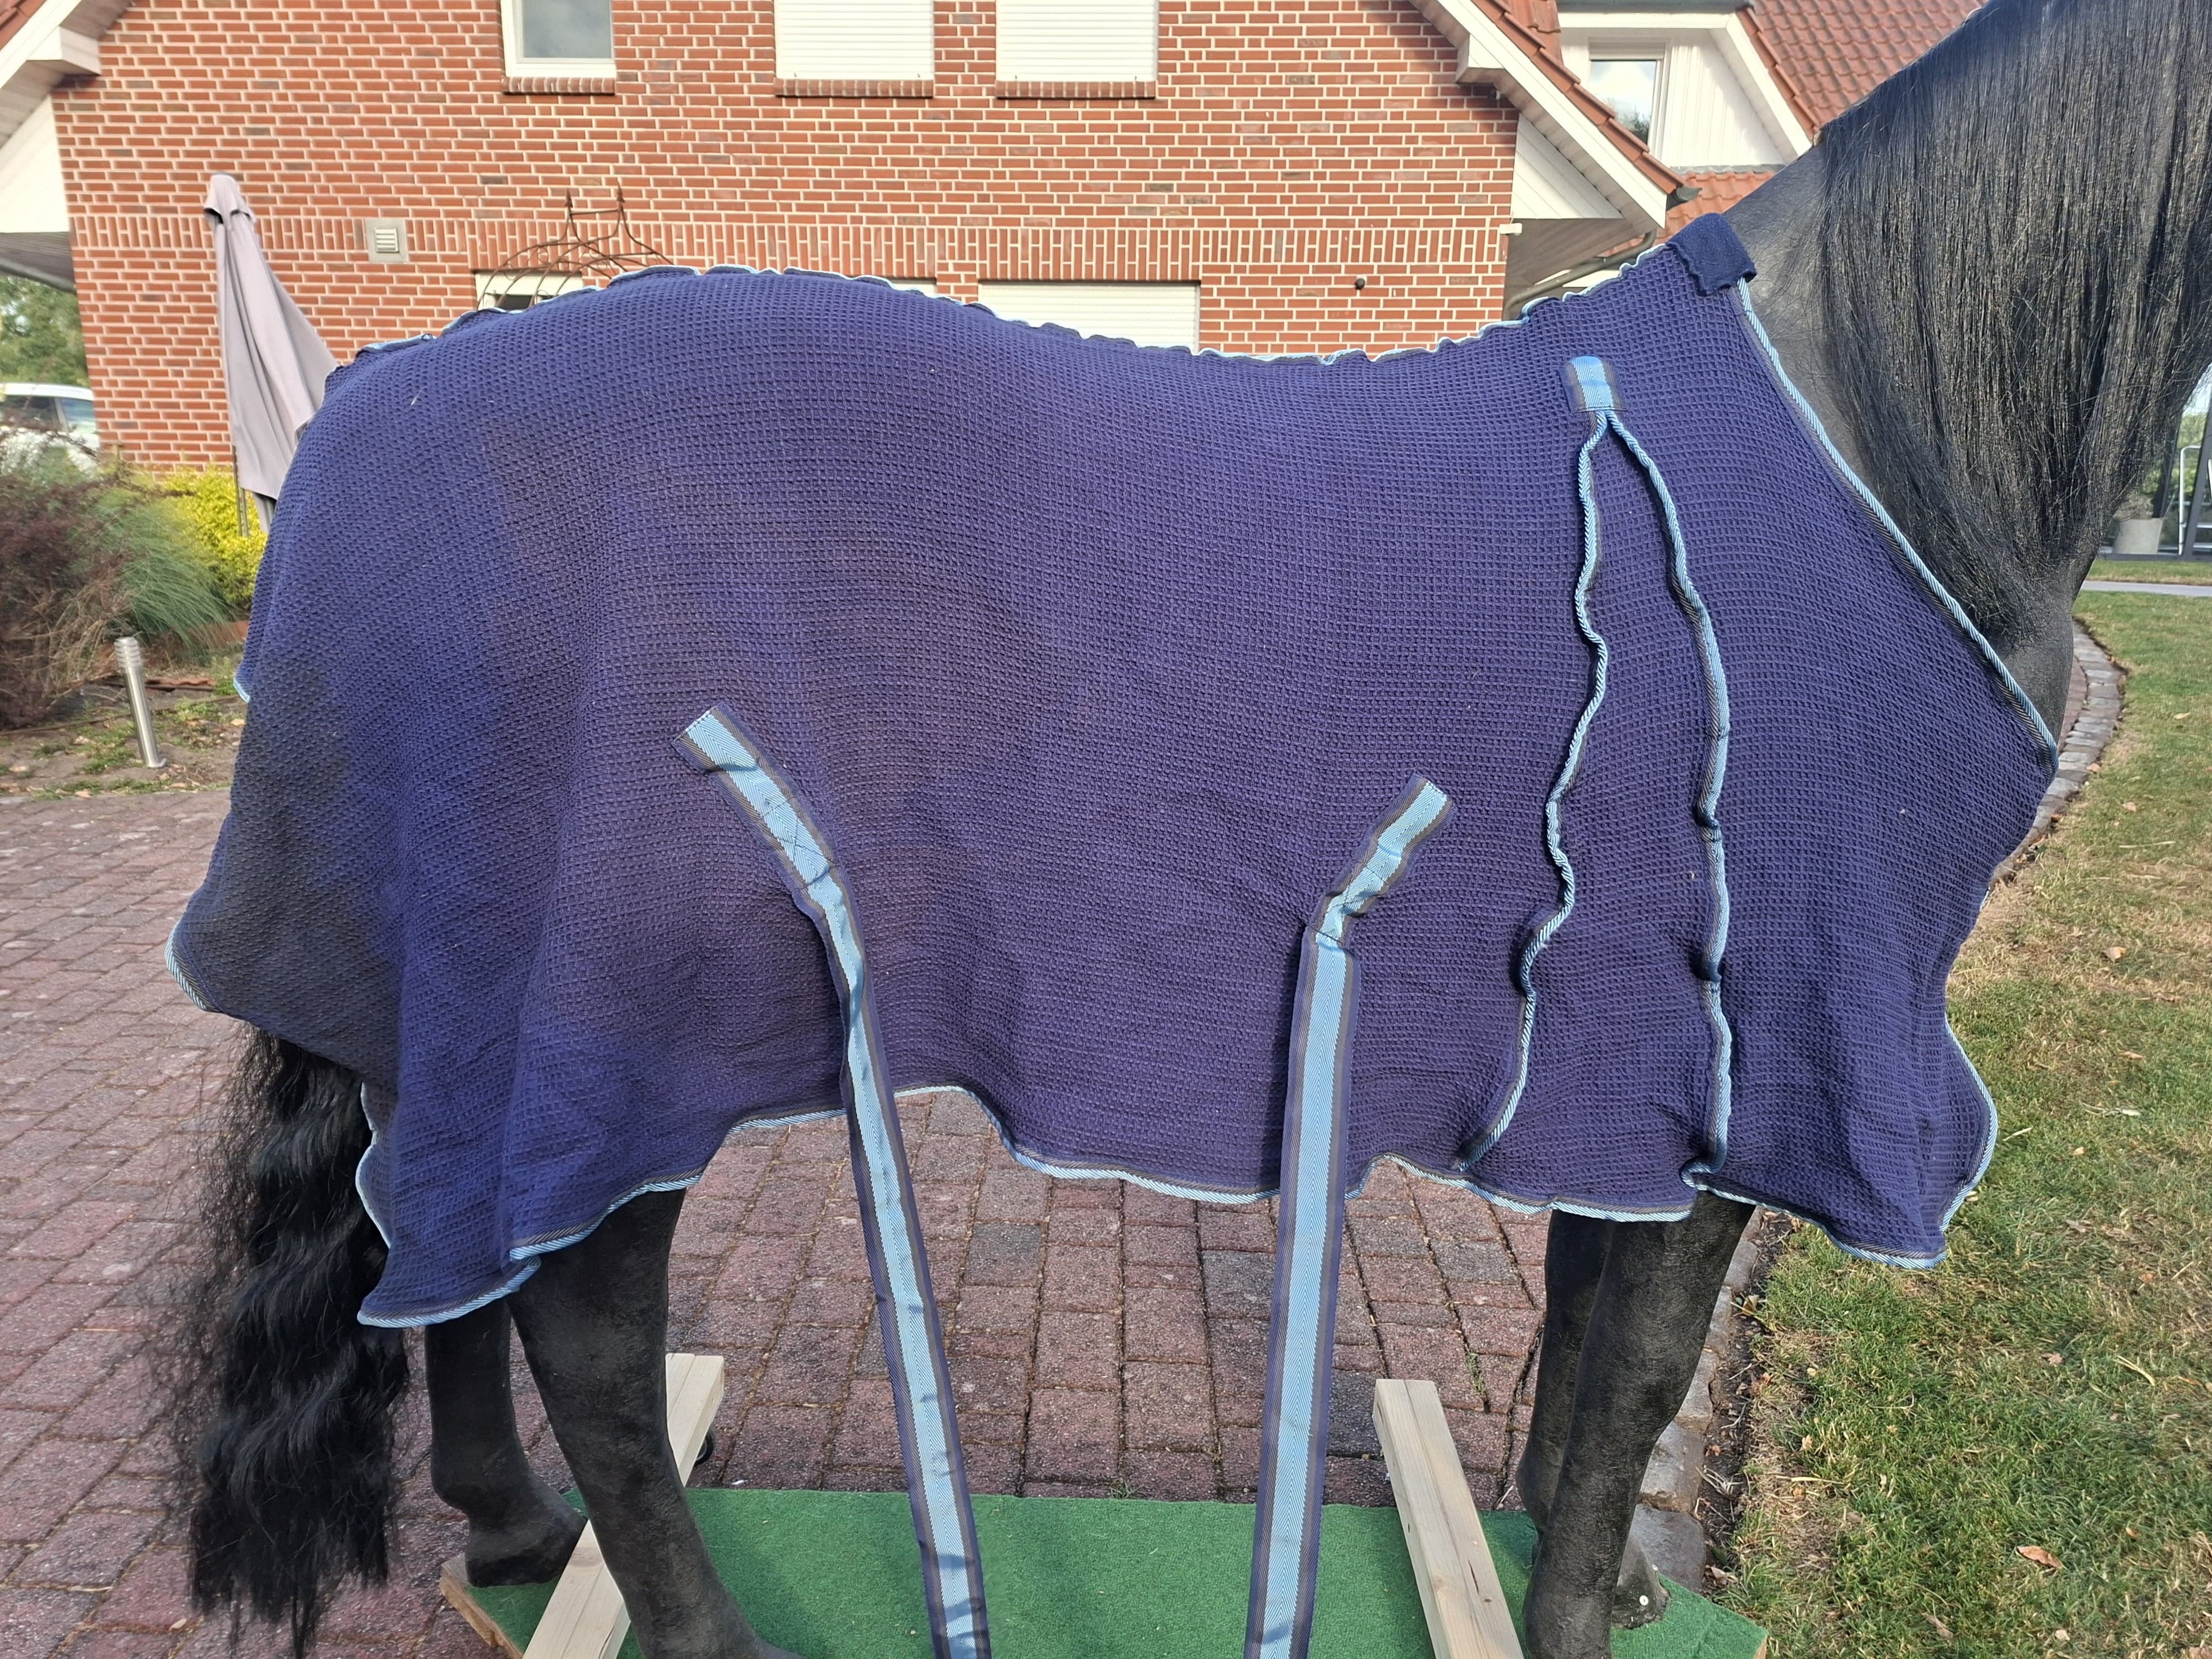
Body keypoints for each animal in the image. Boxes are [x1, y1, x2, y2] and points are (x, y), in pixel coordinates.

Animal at [166, 3, 2212, 1658]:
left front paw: (1598, 1578)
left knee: (449, 1279)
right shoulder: (1773, 1035)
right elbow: (1636, 1361)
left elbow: (1583, 1333)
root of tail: (364, 402)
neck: (1872, 411)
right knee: (576, 1328)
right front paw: (1576, 1614)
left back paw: (512, 1538)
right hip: (604, 1020)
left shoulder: (1650, 1042)